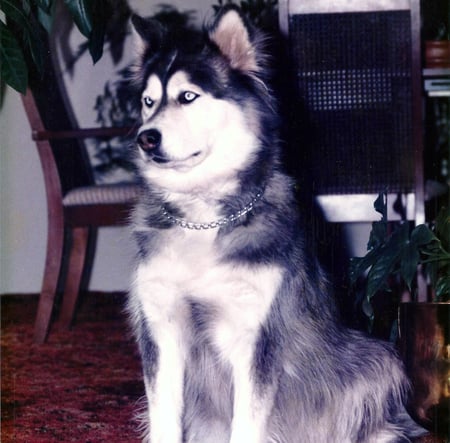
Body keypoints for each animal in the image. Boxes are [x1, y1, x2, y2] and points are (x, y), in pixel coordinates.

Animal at [127, 6, 426, 443]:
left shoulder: (256, 335)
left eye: (187, 96)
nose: (145, 138)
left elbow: (248, 422)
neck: (206, 218)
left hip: (375, 356)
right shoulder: (161, 327)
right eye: (148, 102)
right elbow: (164, 416)